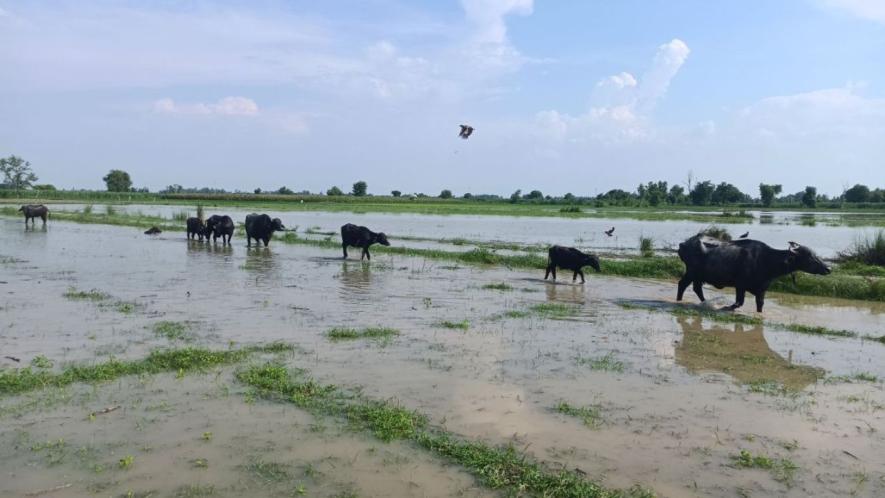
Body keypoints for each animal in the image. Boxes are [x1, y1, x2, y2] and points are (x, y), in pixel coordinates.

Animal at [676, 233, 828, 312]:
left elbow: (760, 305)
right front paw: (726, 307)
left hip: (697, 275)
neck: (766, 260)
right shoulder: (740, 285)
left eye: (814, 254)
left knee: (695, 288)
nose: (828, 269)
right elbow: (738, 303)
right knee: (683, 285)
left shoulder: (761, 290)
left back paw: (702, 302)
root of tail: (684, 244)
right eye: (809, 256)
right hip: (691, 272)